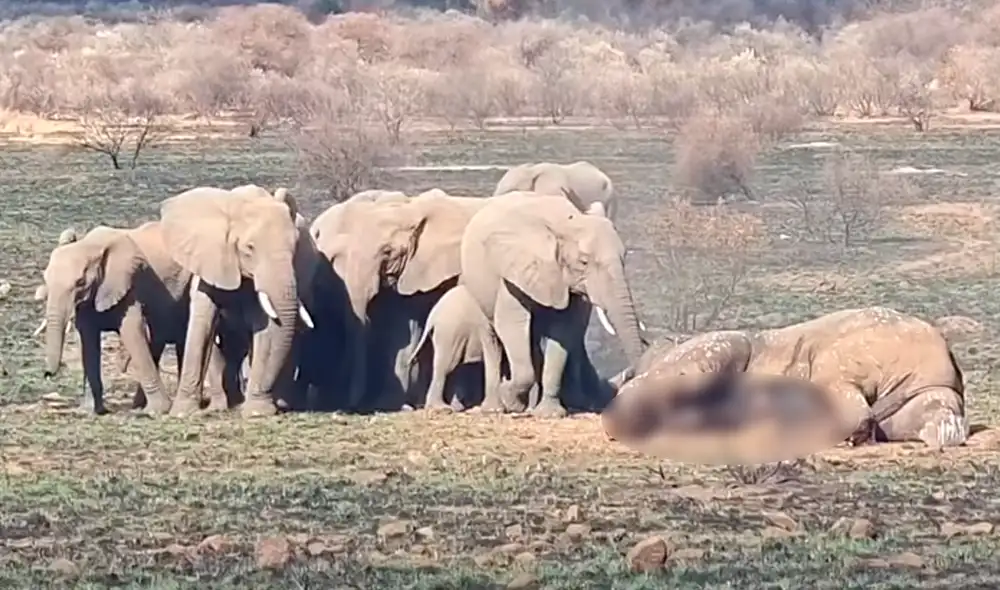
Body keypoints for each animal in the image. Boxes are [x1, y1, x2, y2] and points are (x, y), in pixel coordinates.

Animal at [37, 222, 192, 415]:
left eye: (80, 282)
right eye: (46, 279)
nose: (47, 374)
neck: (89, 245)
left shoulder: (128, 285)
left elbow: (132, 333)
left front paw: (158, 410)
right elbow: (87, 339)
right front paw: (90, 411)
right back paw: (138, 405)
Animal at [161, 184, 316, 418]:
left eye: (295, 247)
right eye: (249, 248)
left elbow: (266, 330)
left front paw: (257, 412)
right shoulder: (210, 263)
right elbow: (203, 325)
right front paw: (182, 413)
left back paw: (278, 404)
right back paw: (223, 405)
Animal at [407, 284, 504, 412]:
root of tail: (432, 317)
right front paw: (494, 409)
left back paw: (455, 407)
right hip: (450, 331)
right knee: (448, 364)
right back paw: (442, 408)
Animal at [459, 191, 646, 418]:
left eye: (624, 257)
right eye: (584, 262)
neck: (566, 224)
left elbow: (563, 332)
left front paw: (549, 413)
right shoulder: (514, 273)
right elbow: (511, 324)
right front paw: (512, 400)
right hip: (476, 287)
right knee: (492, 337)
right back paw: (495, 408)